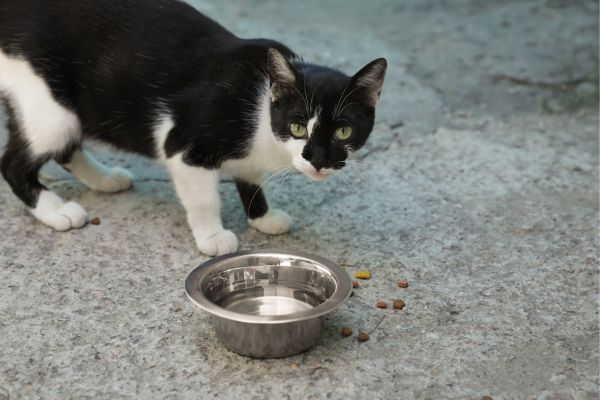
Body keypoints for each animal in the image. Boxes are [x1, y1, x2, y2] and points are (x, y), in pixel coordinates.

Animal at [0, 0, 386, 256]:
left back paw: (104, 178)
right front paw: (213, 237)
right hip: (51, 108)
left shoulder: (250, 154)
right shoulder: (183, 144)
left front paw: (262, 216)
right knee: (15, 163)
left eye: (343, 132)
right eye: (297, 127)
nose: (318, 159)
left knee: (66, 147)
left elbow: (251, 177)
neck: (262, 111)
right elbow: (203, 199)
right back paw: (56, 211)